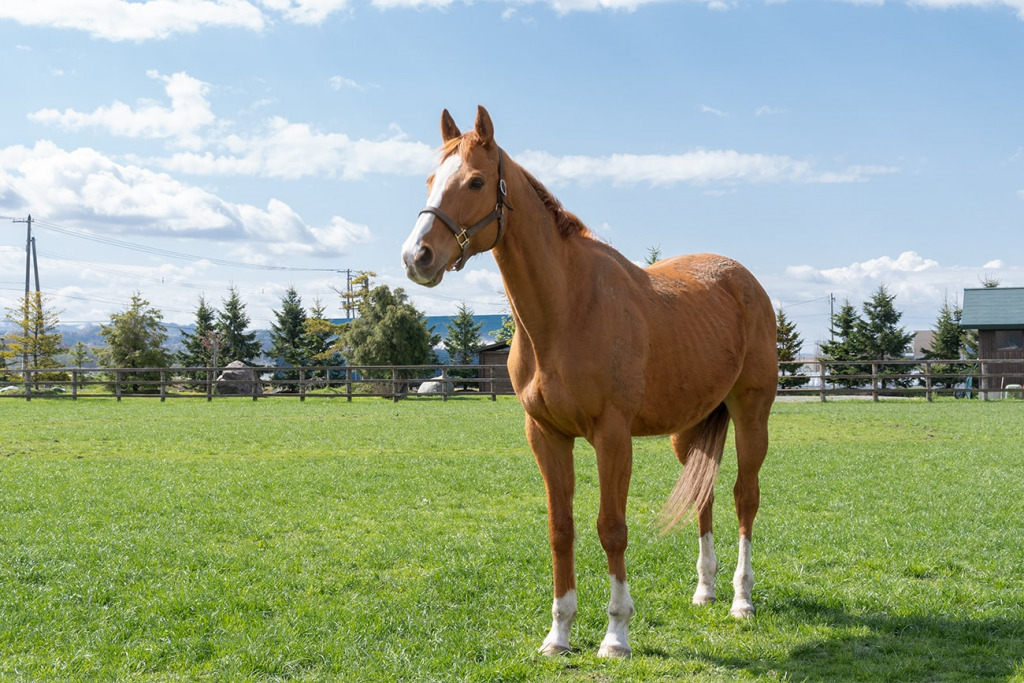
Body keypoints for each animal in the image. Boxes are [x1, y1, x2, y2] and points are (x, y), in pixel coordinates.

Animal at [399, 105, 774, 655]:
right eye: (430, 180)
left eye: (475, 181)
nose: (417, 257)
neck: (567, 310)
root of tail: (745, 281)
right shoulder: (547, 435)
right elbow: (562, 530)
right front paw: (558, 634)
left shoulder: (612, 437)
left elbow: (611, 528)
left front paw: (616, 633)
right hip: (689, 429)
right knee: (702, 496)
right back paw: (705, 590)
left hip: (751, 414)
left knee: (744, 498)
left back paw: (741, 600)